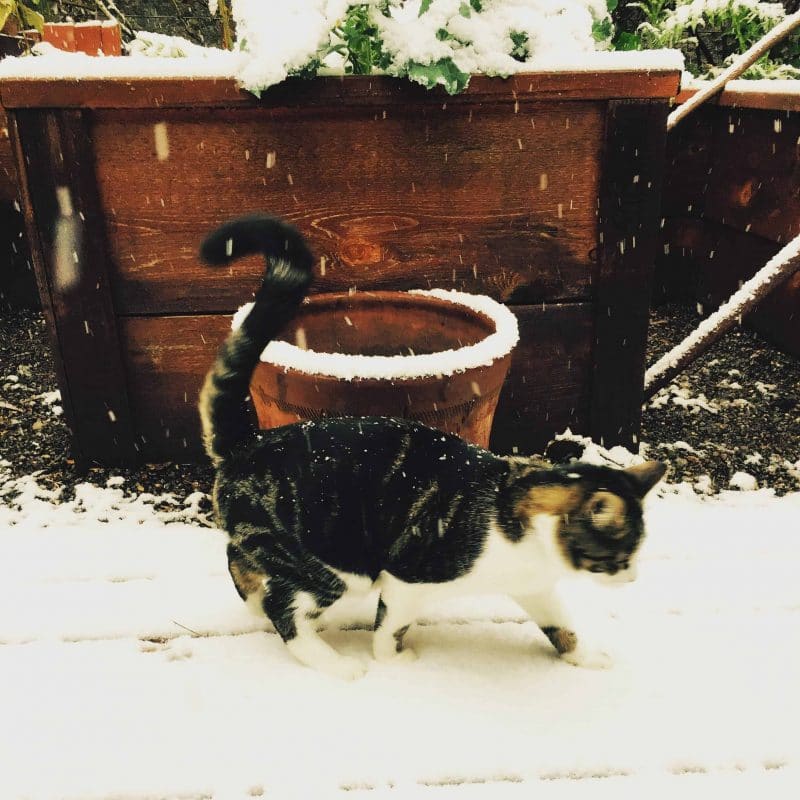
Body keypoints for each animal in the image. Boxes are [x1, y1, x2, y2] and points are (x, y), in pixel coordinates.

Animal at [198, 214, 664, 680]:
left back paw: (255, 601)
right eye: (620, 556)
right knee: (285, 609)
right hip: (333, 566)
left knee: (240, 562)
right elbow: (390, 627)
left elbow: (562, 626)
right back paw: (335, 664)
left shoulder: (536, 589)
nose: (633, 579)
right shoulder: (407, 575)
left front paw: (584, 656)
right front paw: (392, 660)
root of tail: (247, 444)